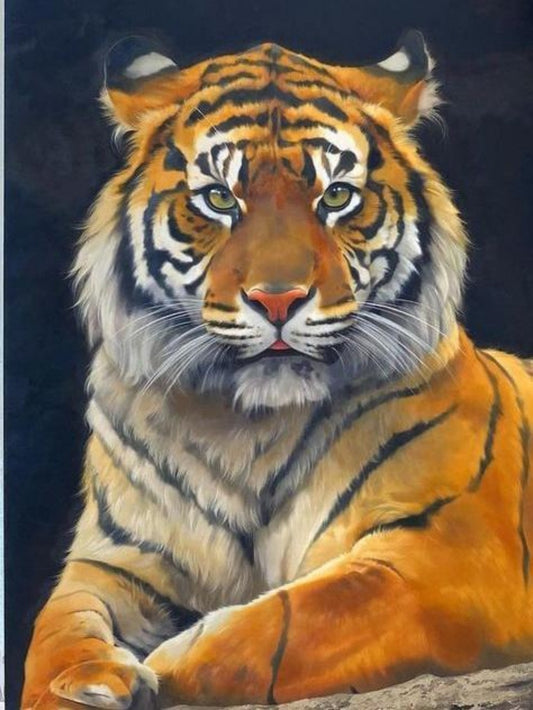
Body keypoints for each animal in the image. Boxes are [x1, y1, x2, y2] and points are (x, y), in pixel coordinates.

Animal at [22, 30, 533, 710]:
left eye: (336, 196)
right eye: (219, 198)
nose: (278, 300)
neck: (248, 429)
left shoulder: (446, 552)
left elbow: (291, 621)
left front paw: (168, 666)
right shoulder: (111, 561)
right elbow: (57, 629)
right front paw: (78, 684)